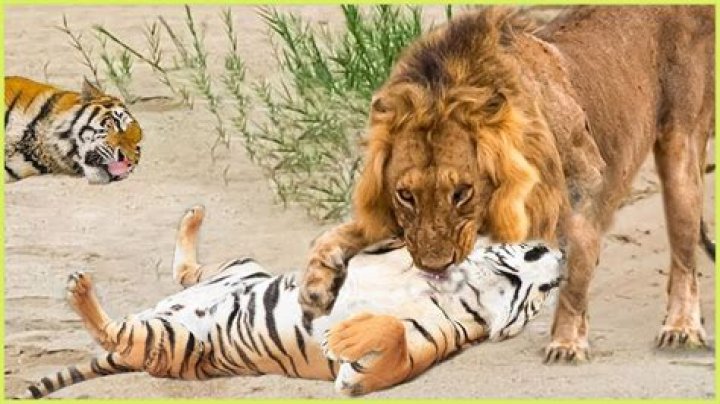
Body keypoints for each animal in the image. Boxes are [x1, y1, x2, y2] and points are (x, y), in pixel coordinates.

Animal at [24, 205, 563, 398]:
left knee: (117, 329)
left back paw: (79, 289)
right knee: (185, 272)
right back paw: (193, 214)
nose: (558, 255)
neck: (462, 284)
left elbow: (389, 334)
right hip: (236, 267)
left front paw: (342, 333)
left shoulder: (389, 365)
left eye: (542, 293)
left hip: (172, 340)